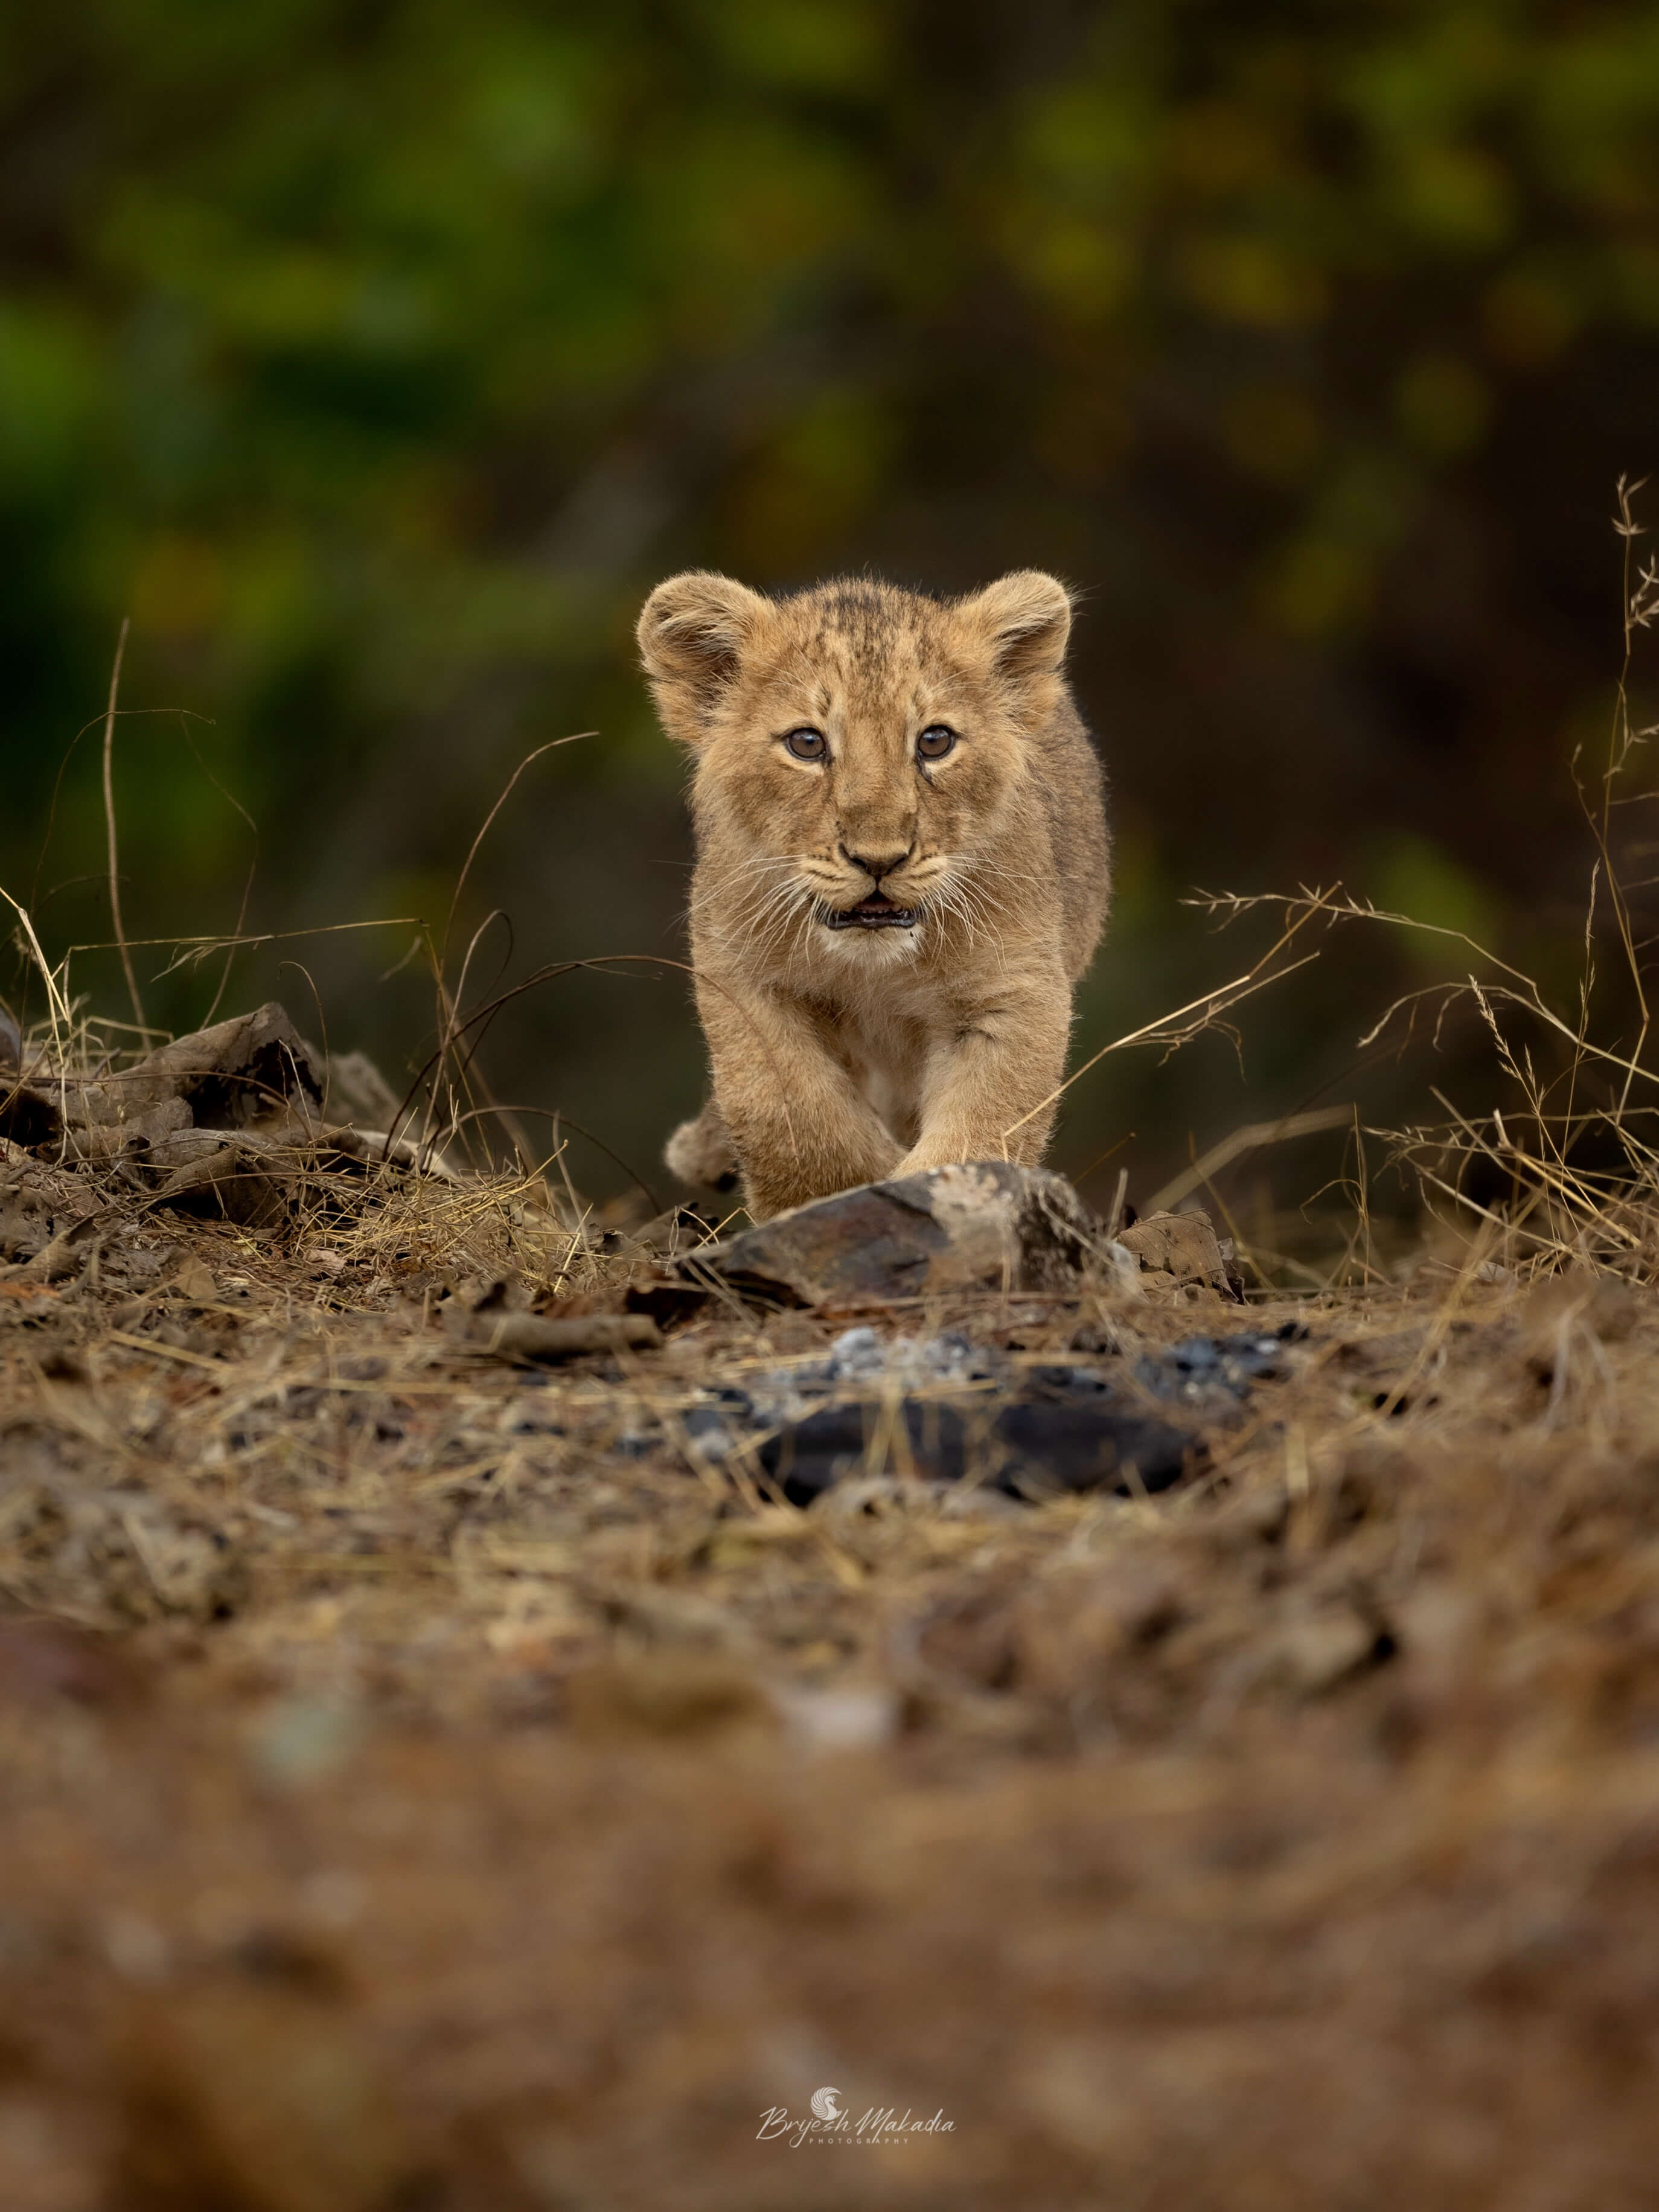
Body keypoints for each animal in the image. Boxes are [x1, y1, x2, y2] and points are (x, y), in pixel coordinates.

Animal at [637, 569, 1110, 1222]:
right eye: (806, 743)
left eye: (935, 741)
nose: (879, 858)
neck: (876, 971)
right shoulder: (740, 974)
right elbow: (789, 1115)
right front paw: (842, 1191)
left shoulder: (1013, 989)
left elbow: (984, 1130)